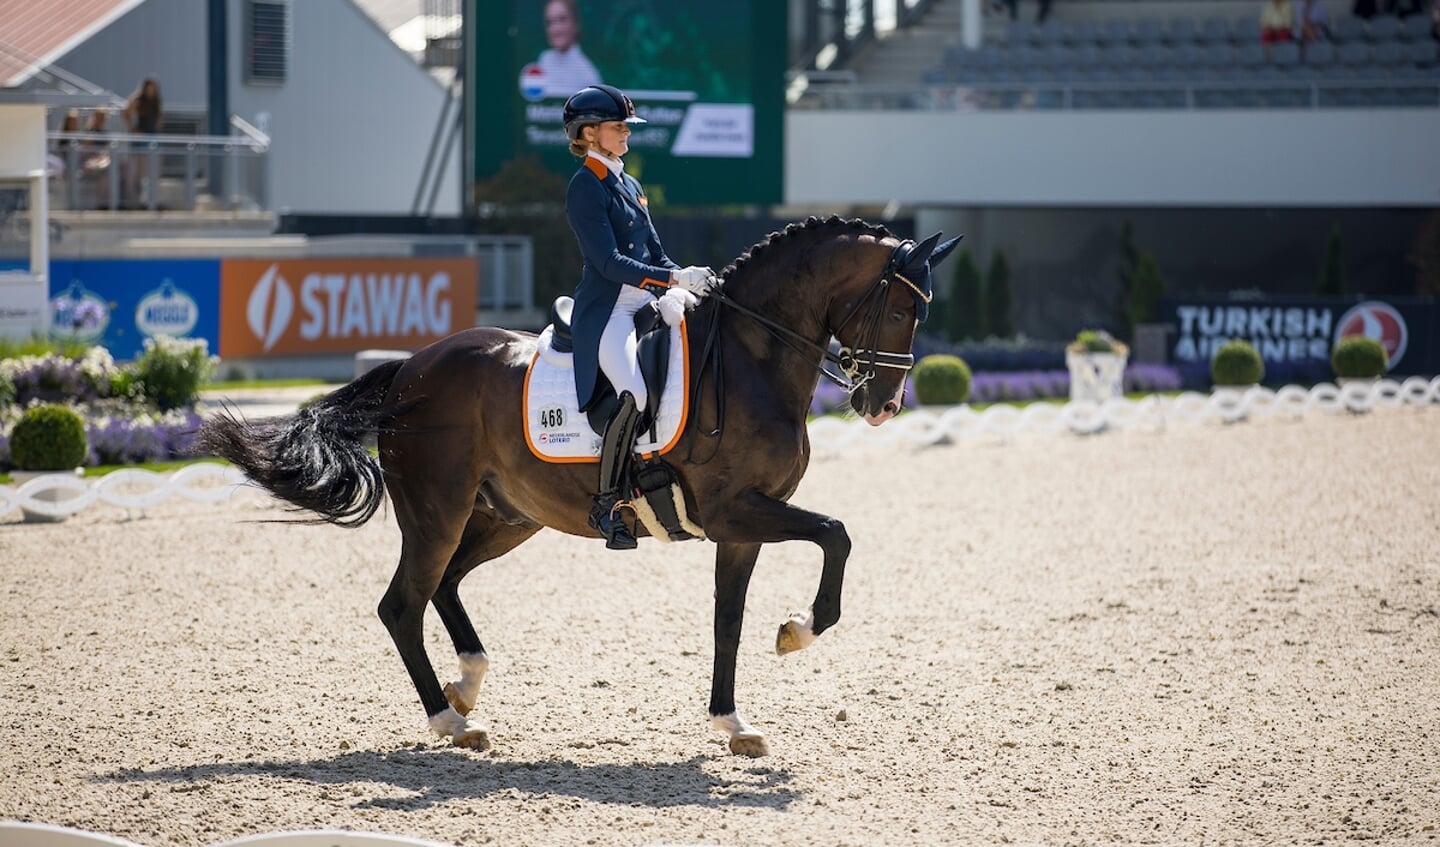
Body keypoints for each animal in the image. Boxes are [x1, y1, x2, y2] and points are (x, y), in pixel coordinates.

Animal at [191, 214, 956, 754]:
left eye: (922, 313)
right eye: (898, 310)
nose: (882, 405)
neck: (751, 357)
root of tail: (411, 366)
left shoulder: (743, 524)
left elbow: (729, 619)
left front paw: (733, 723)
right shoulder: (735, 509)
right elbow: (837, 534)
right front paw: (799, 630)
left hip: (507, 516)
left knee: (445, 584)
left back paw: (466, 686)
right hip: (439, 511)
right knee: (402, 604)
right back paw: (448, 721)